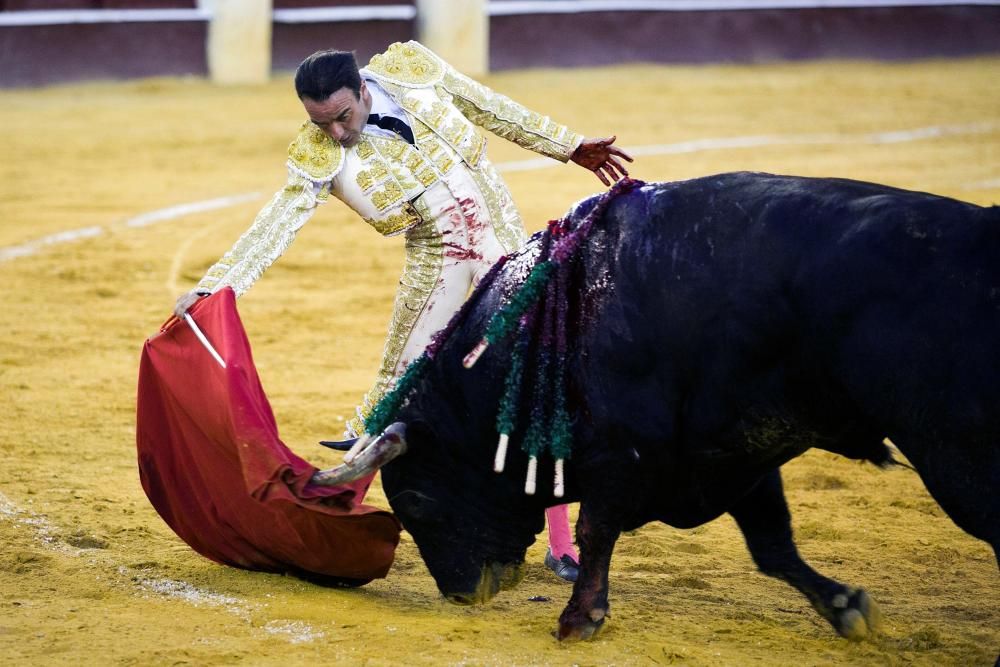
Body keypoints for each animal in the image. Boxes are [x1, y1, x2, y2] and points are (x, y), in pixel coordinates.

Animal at [320, 172, 1000, 640]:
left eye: (415, 502)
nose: (464, 593)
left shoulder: (625, 452)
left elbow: (597, 528)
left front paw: (580, 618)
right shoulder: (737, 451)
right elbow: (773, 545)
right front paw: (845, 608)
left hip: (959, 458)